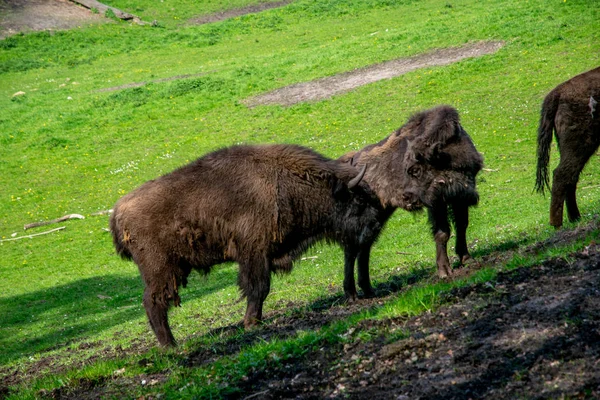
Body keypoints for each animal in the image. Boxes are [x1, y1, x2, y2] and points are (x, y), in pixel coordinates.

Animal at [110, 144, 390, 346]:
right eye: (358, 199)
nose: (375, 225)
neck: (284, 181)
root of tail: (118, 212)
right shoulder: (254, 253)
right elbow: (258, 287)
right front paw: (252, 322)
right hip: (161, 271)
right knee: (154, 301)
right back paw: (171, 345)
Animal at [340, 105, 486, 278]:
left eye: (415, 169)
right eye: (410, 169)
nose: (406, 196)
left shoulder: (460, 198)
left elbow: (462, 225)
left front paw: (467, 259)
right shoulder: (437, 204)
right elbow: (442, 233)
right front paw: (444, 271)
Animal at [536, 67, 600, 227]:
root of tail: (557, 92)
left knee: (571, 176)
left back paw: (575, 217)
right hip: (581, 144)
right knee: (562, 174)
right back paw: (557, 223)